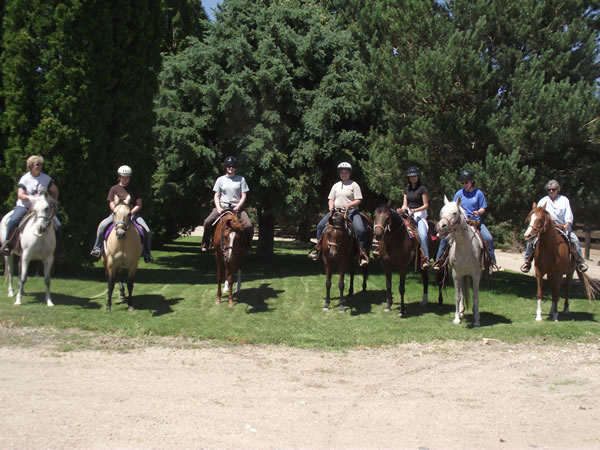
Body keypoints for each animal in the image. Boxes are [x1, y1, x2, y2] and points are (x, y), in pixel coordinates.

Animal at [436, 195, 482, 326]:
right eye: (441, 212)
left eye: (455, 213)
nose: (441, 226)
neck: (465, 247)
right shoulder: (456, 274)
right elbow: (457, 295)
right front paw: (456, 318)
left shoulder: (476, 274)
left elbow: (475, 296)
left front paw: (477, 320)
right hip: (461, 275)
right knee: (461, 293)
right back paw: (461, 311)